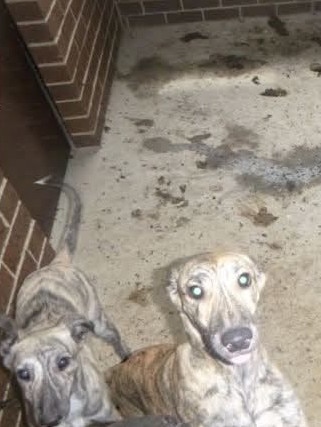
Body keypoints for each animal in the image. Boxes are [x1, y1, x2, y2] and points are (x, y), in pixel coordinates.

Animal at [0, 179, 130, 427]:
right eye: (23, 374)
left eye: (63, 362)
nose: (50, 420)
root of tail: (56, 263)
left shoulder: (112, 416)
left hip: (101, 324)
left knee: (117, 341)